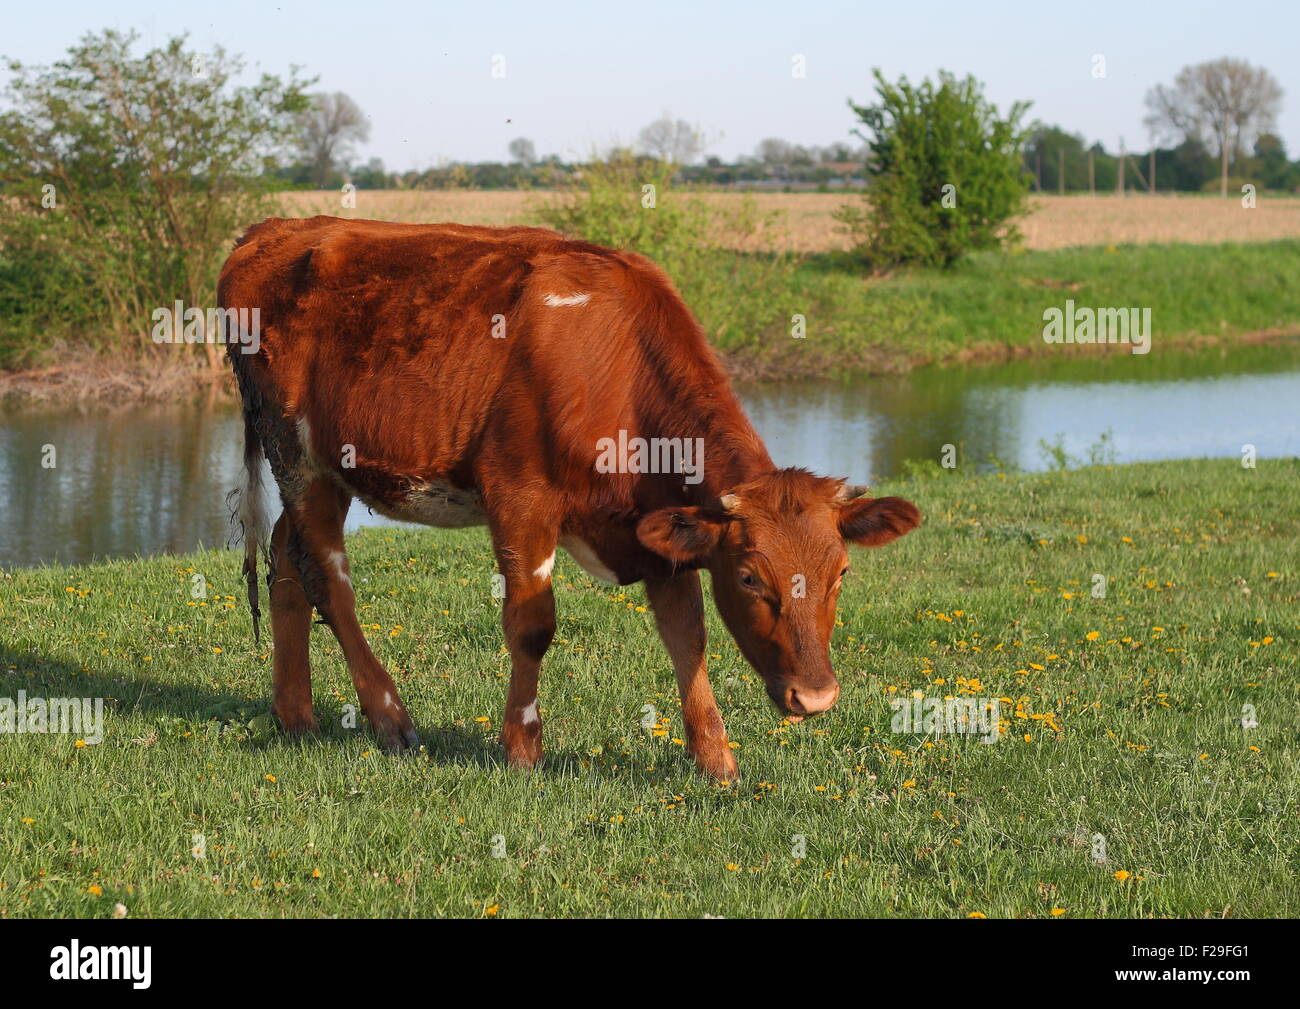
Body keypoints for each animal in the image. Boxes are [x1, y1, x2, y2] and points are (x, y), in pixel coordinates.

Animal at [219, 216, 920, 780]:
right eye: (749, 578)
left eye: (842, 573)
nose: (816, 698)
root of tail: (274, 228)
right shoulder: (520, 494)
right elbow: (531, 626)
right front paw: (522, 749)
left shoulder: (659, 526)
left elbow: (688, 635)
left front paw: (715, 758)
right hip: (297, 452)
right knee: (327, 578)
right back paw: (390, 719)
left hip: (322, 467)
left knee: (287, 559)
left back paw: (295, 714)